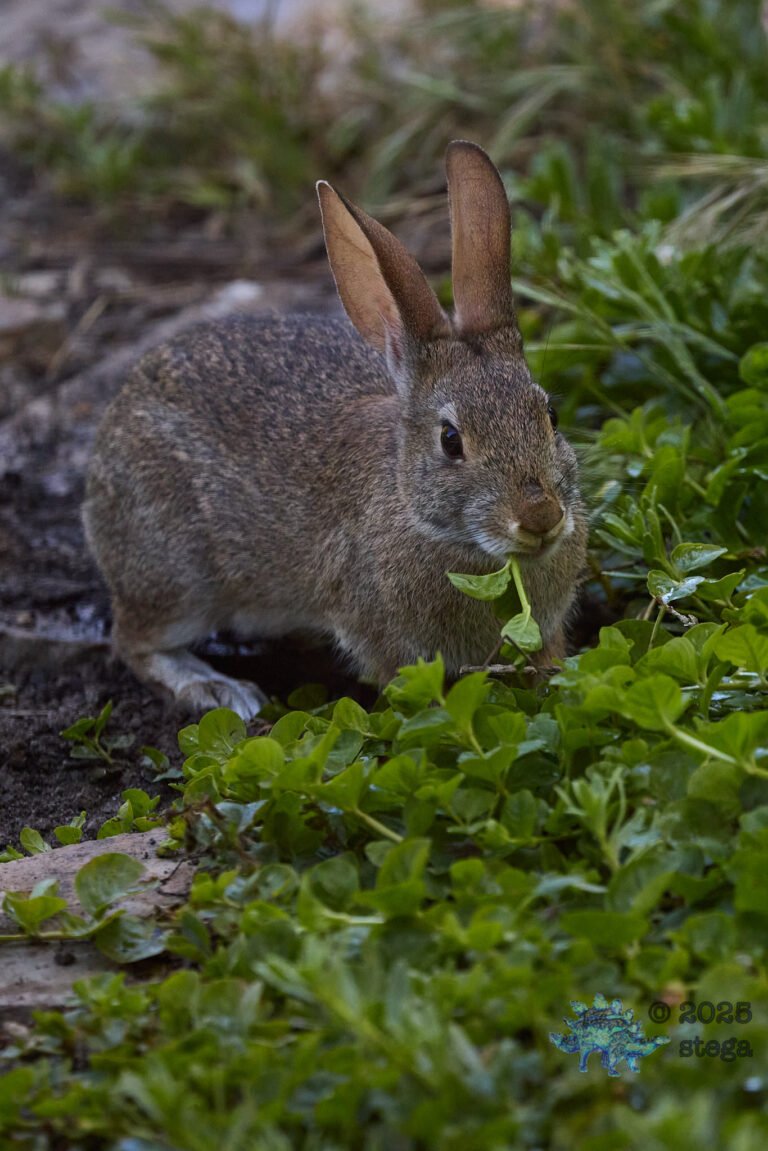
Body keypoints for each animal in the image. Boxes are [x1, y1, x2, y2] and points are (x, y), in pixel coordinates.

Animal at [82, 141, 587, 720]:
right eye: (451, 441)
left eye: (550, 416)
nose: (541, 517)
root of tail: (117, 417)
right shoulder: (379, 633)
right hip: (177, 571)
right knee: (134, 639)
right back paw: (217, 690)